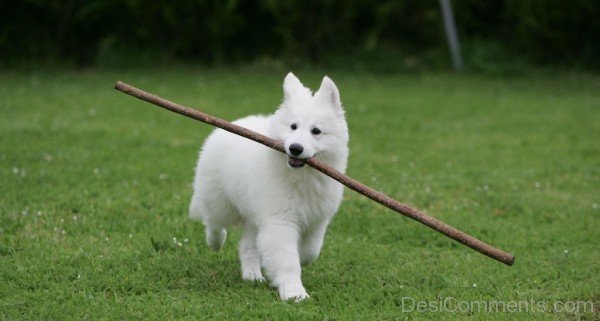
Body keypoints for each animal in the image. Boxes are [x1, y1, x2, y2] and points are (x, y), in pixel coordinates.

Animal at [190, 72, 350, 300]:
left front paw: (301, 261)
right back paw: (216, 242)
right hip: (219, 200)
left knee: (246, 246)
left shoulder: (318, 220)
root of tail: (234, 123)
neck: (302, 177)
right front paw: (294, 292)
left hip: (253, 215)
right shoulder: (279, 221)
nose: (295, 148)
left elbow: (311, 251)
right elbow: (287, 260)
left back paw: (252, 276)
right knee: (213, 222)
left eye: (316, 131)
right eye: (293, 126)